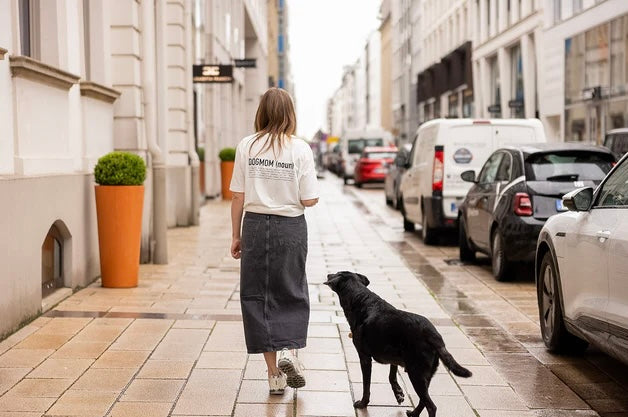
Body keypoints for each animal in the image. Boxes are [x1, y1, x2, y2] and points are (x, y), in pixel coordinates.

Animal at [326, 270, 468, 416]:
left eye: (338, 272)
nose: (328, 274)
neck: (361, 299)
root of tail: (434, 336)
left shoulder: (364, 357)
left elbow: (367, 384)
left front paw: (363, 403)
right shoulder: (393, 356)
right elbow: (392, 375)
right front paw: (398, 393)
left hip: (416, 373)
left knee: (431, 406)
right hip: (425, 375)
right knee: (423, 400)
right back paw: (413, 413)